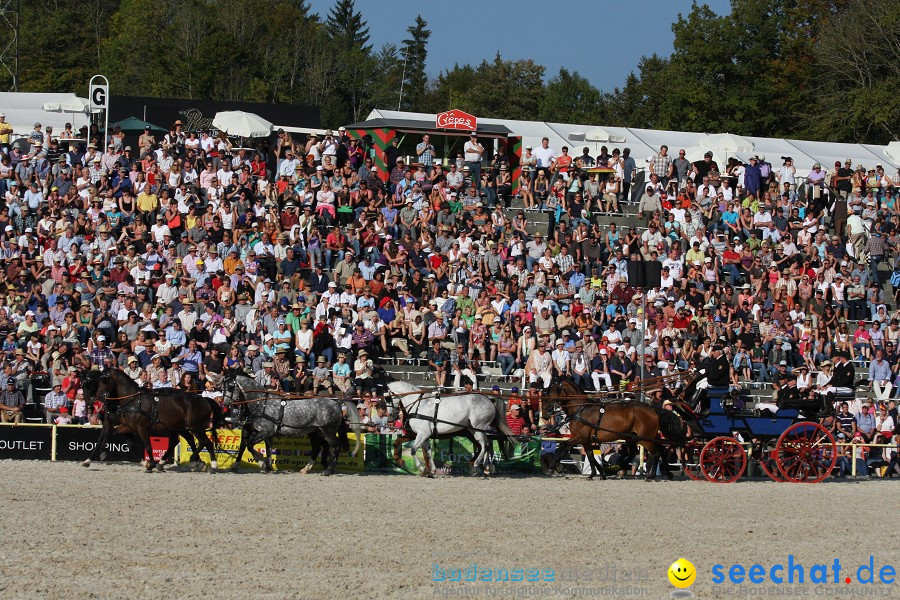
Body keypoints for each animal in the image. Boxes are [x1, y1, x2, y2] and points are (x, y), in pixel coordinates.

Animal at [81, 368, 224, 472]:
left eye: (104, 381)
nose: (95, 399)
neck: (131, 400)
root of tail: (204, 399)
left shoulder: (141, 428)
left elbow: (148, 446)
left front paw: (150, 465)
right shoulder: (124, 425)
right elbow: (110, 439)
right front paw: (91, 459)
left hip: (195, 427)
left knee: (206, 442)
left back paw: (208, 464)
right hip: (180, 427)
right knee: (185, 440)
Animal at [223, 372, 360, 476]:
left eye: (230, 387)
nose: (225, 403)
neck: (262, 404)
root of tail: (337, 403)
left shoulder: (265, 431)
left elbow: (250, 445)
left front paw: (262, 463)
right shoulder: (264, 433)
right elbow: (265, 449)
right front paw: (267, 466)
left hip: (328, 431)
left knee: (335, 447)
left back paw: (328, 471)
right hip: (317, 432)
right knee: (320, 448)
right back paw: (309, 468)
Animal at [384, 382, 516, 476]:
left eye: (387, 398)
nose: (390, 418)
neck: (418, 404)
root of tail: (489, 399)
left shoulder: (422, 433)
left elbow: (413, 450)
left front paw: (421, 469)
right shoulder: (425, 435)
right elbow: (428, 453)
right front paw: (431, 471)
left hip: (479, 428)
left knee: (484, 445)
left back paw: (477, 465)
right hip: (473, 430)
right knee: (486, 444)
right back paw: (484, 467)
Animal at [544, 378, 684, 480]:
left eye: (554, 391)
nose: (545, 411)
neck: (581, 409)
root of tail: (653, 409)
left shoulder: (580, 437)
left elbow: (563, 446)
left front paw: (551, 466)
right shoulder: (585, 440)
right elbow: (590, 456)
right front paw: (596, 473)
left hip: (644, 438)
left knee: (655, 453)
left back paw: (650, 476)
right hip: (634, 437)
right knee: (652, 450)